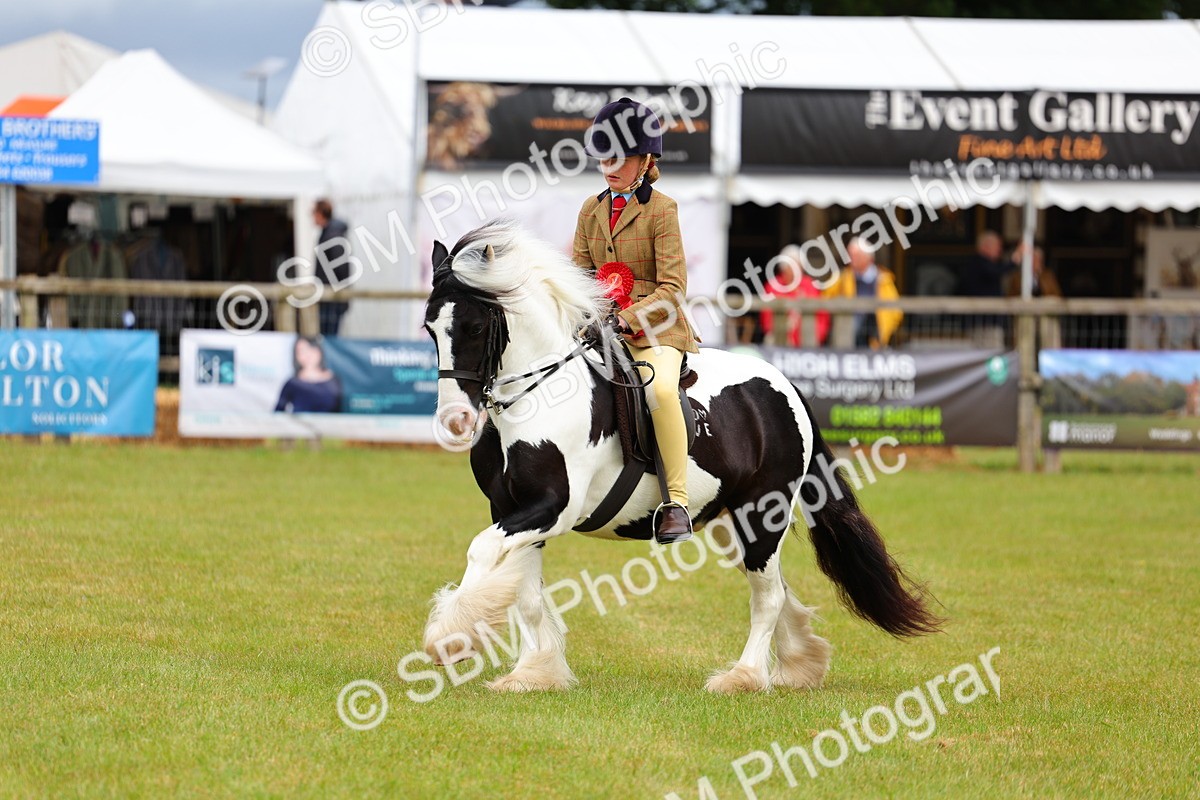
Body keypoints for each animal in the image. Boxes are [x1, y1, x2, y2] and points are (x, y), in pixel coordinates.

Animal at [421, 220, 941, 694]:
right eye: (429, 328)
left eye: (473, 326)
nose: (455, 421)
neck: (542, 394)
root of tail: (786, 386)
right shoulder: (512, 509)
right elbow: (525, 593)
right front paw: (533, 674)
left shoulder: (552, 509)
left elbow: (481, 549)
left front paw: (449, 638)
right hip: (732, 522)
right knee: (776, 587)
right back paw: (799, 666)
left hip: (763, 512)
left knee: (767, 598)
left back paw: (743, 678)